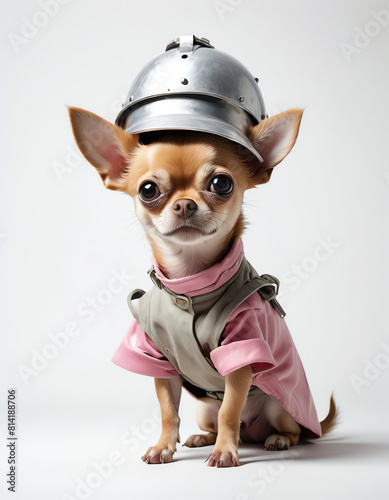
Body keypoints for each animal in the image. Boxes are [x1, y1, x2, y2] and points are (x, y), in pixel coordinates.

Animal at [68, 106, 338, 468]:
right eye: (148, 189)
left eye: (221, 183)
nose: (185, 204)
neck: (190, 285)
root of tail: (253, 432)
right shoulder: (158, 358)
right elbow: (169, 411)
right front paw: (163, 447)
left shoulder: (240, 353)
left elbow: (230, 410)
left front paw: (225, 452)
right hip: (203, 408)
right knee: (215, 422)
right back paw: (203, 438)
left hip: (278, 407)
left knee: (283, 429)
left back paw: (276, 439)